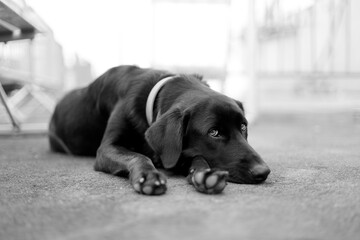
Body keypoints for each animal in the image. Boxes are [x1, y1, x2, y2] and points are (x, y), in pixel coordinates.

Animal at [50, 65, 270, 195]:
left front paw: (204, 173)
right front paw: (148, 176)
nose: (264, 171)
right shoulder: (107, 148)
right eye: (214, 132)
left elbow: (198, 157)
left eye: (243, 126)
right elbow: (138, 156)